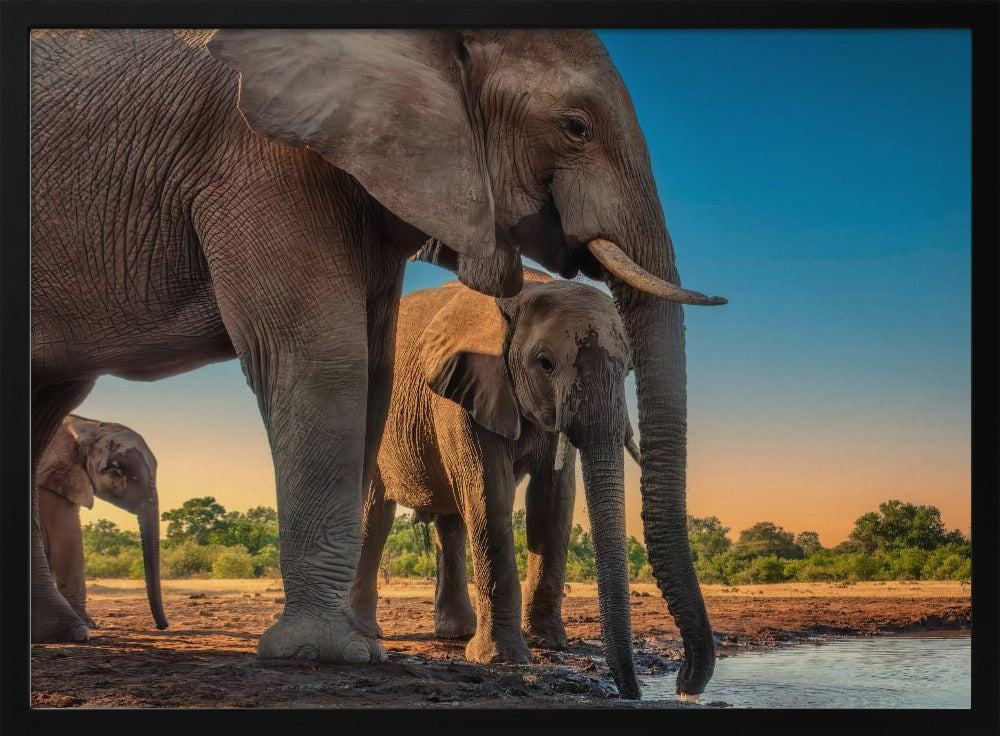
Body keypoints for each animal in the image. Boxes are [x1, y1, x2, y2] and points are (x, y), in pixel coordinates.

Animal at [348, 269, 647, 693]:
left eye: (628, 369)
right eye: (545, 363)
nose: (632, 693)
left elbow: (553, 500)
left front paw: (548, 643)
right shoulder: (465, 390)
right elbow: (489, 490)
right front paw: (502, 659)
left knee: (450, 521)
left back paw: (456, 633)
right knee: (375, 515)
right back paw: (366, 632)